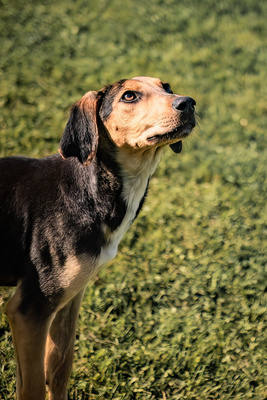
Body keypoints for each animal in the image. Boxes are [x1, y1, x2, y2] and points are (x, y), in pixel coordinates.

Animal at [0, 76, 197, 398]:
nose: (188, 103)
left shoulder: (70, 296)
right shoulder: (29, 310)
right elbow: (34, 388)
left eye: (167, 87)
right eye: (129, 96)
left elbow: (59, 371)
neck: (89, 190)